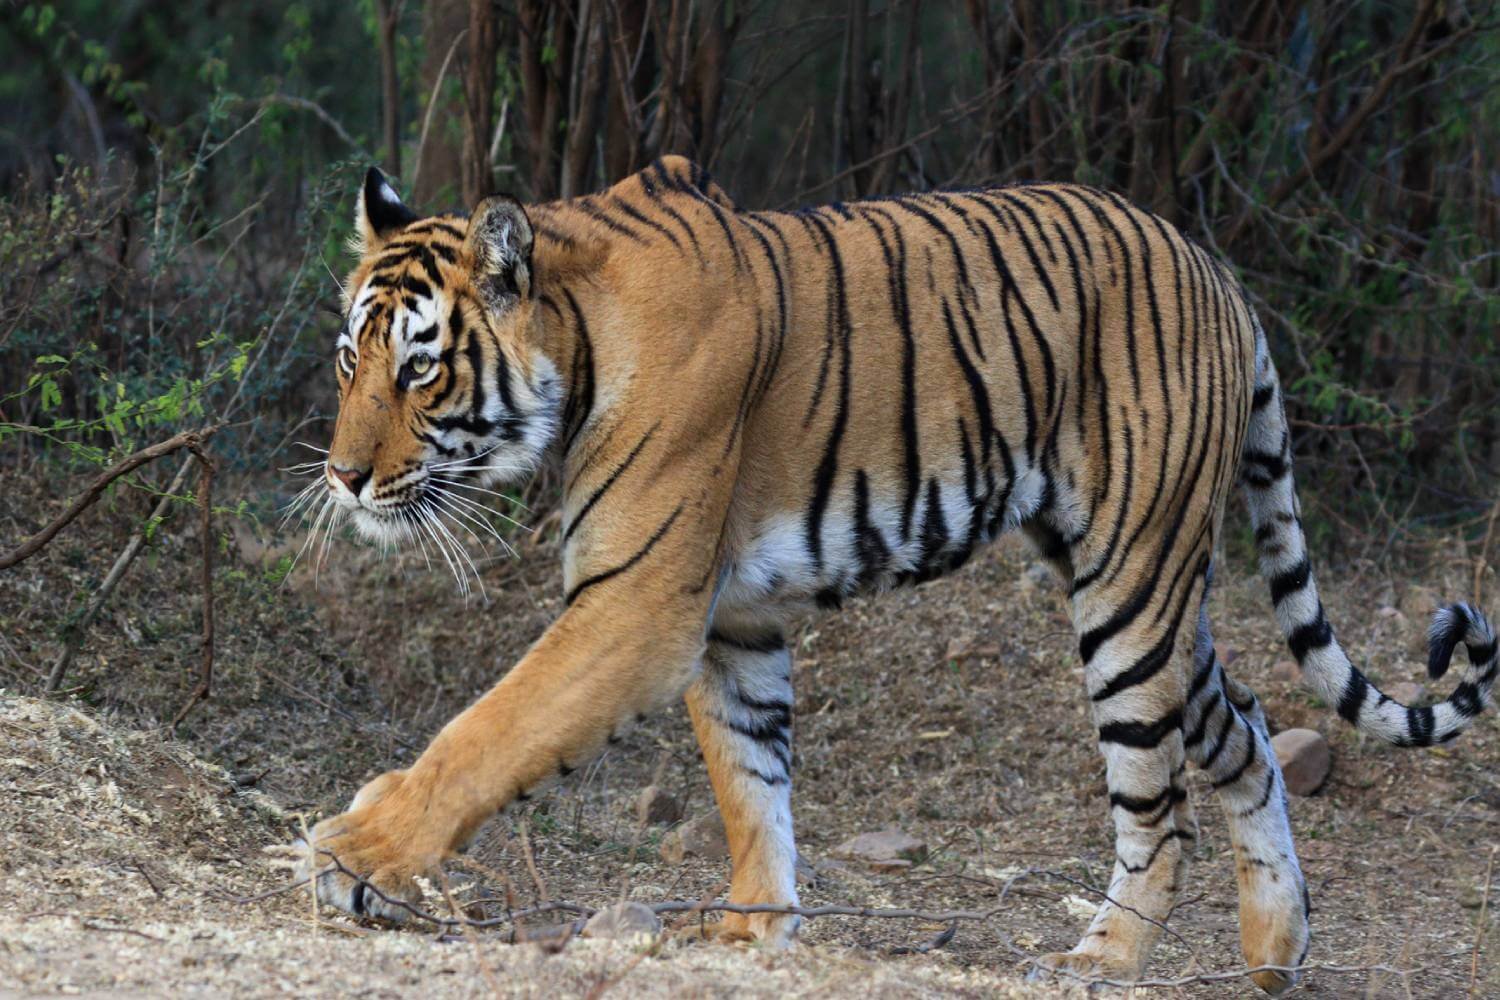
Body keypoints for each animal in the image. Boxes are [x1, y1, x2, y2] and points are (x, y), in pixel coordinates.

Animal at [286, 156, 1494, 995]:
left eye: (420, 370)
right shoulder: (730, 619)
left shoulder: (635, 602)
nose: (343, 477)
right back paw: (1274, 953)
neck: (576, 345)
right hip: (1160, 594)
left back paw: (1100, 959)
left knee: (1162, 810)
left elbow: (485, 734)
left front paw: (355, 851)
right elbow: (751, 784)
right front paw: (751, 928)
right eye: (350, 361)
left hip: (1130, 589)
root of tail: (1217, 270)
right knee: (1244, 734)